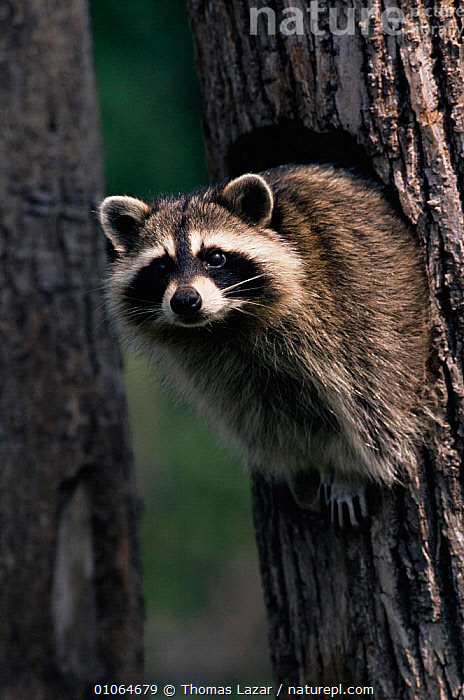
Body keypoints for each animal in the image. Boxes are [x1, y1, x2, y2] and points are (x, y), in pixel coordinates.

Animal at [99, 165, 430, 528]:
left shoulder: (351, 311)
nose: (185, 300)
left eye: (215, 257)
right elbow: (256, 414)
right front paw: (300, 464)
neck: (228, 326)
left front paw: (349, 469)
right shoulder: (216, 364)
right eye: (160, 266)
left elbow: (374, 408)